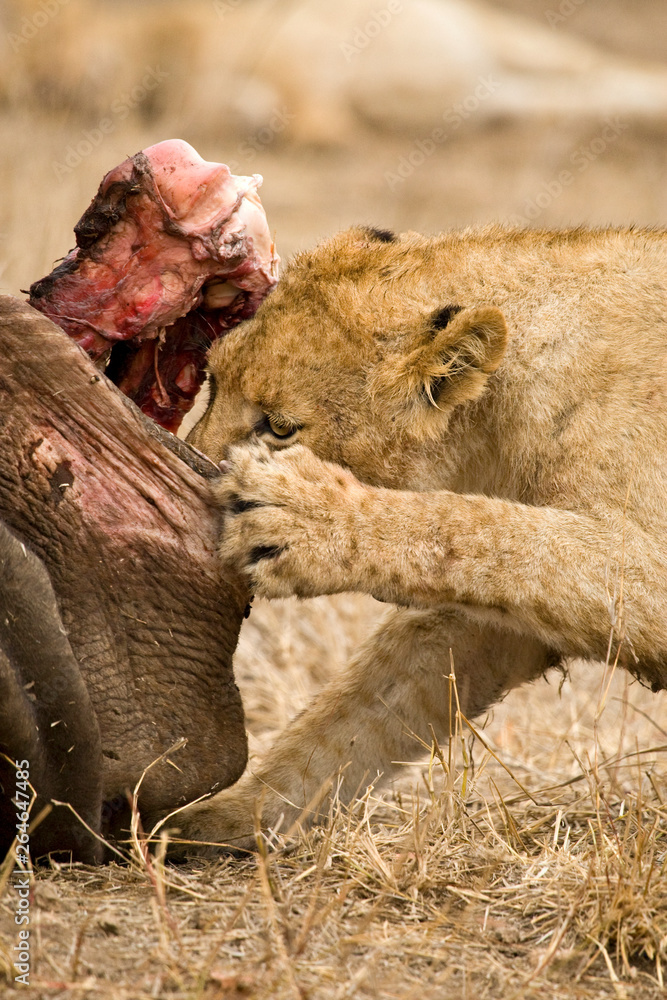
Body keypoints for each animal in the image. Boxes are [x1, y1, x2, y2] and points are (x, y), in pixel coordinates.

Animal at [179, 224, 667, 853]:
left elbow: (482, 528)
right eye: (212, 380)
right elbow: (363, 712)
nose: (188, 476)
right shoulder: (492, 621)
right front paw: (225, 818)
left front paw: (303, 516)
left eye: (280, 427)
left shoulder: (642, 563)